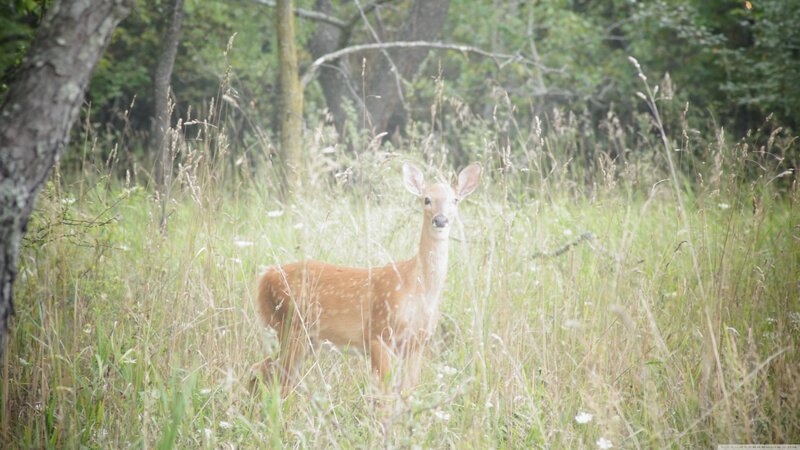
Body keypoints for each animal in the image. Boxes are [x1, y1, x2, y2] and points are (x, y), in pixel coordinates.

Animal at [252, 162, 482, 394]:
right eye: (427, 199)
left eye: (455, 200)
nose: (440, 220)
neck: (418, 289)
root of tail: (265, 276)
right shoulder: (380, 333)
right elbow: (384, 395)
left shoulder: (417, 343)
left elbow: (407, 391)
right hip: (288, 327)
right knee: (270, 375)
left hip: (303, 338)